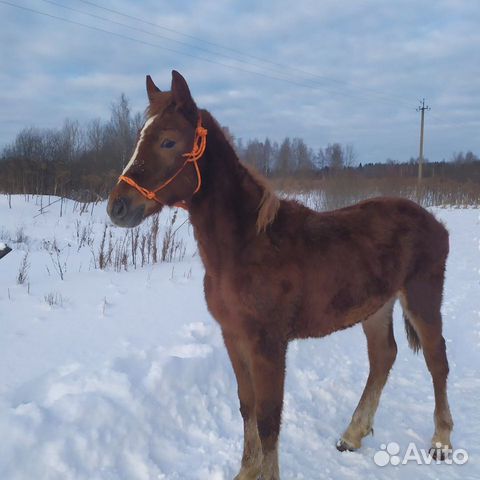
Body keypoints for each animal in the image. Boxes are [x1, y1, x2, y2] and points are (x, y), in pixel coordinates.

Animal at [108, 71, 454, 480]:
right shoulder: (233, 337)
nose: (117, 207)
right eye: (139, 138)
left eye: (168, 141)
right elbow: (247, 407)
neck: (246, 246)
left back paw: (441, 441)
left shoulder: (269, 343)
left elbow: (268, 417)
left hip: (422, 297)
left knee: (437, 360)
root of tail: (434, 222)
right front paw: (245, 471)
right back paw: (352, 435)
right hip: (376, 307)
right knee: (383, 358)